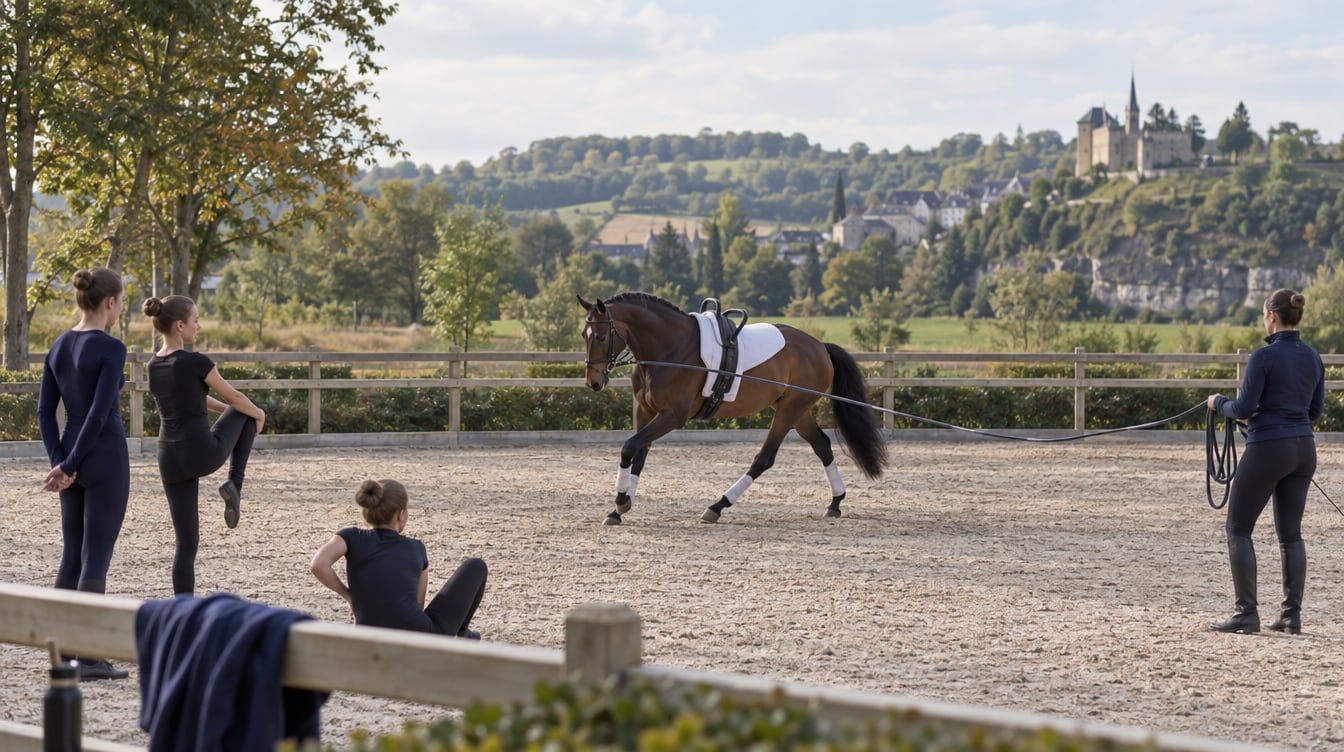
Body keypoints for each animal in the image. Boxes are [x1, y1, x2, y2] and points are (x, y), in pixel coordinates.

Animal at [578, 292, 887, 525]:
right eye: (584, 334)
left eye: (602, 336)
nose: (593, 382)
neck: (669, 350)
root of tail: (820, 346)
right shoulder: (645, 412)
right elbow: (639, 453)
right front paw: (618, 509)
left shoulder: (672, 416)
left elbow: (629, 447)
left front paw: (621, 501)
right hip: (798, 411)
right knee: (822, 445)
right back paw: (835, 502)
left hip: (789, 410)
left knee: (764, 458)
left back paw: (718, 506)